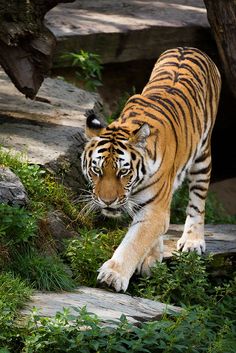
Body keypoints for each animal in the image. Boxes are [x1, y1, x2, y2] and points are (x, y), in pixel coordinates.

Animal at [81, 46, 221, 290]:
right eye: (96, 170)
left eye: (123, 172)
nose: (107, 202)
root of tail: (190, 48)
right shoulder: (153, 205)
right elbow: (147, 234)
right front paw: (151, 258)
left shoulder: (154, 208)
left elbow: (134, 241)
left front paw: (113, 275)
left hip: (203, 155)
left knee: (197, 201)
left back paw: (192, 241)